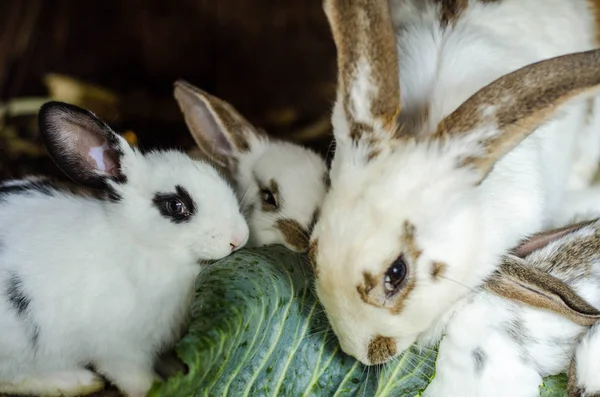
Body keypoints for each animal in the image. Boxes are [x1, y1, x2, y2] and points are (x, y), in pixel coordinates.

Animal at [0, 101, 250, 396]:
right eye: (175, 205)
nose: (239, 237)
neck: (138, 243)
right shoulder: (122, 350)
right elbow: (135, 378)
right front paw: (156, 387)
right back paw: (75, 381)